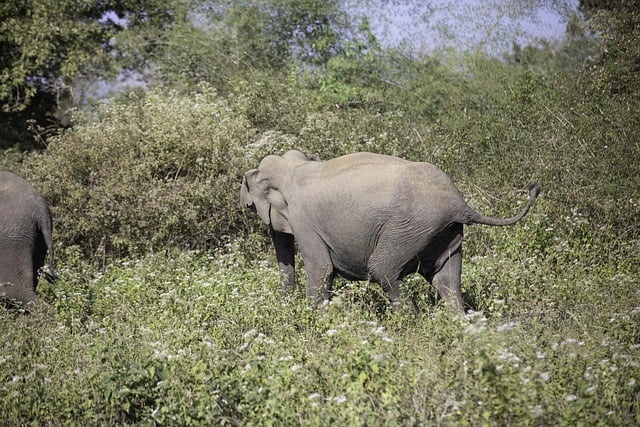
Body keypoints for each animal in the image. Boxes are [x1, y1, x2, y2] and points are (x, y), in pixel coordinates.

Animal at [240, 151, 540, 310]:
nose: (283, 308)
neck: (292, 166)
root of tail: (459, 203)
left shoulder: (304, 221)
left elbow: (321, 268)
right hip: (445, 231)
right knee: (446, 280)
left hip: (409, 229)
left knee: (382, 269)